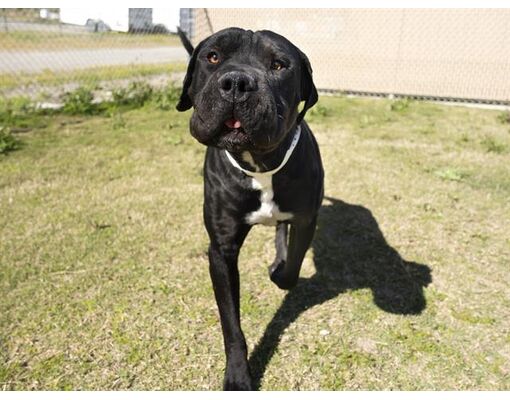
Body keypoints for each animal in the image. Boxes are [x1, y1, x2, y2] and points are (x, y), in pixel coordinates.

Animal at [177, 28, 324, 390]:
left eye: (279, 65)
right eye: (213, 56)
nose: (236, 83)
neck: (259, 165)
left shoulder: (306, 219)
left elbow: (291, 271)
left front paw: (278, 270)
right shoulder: (222, 249)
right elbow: (231, 323)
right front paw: (238, 375)